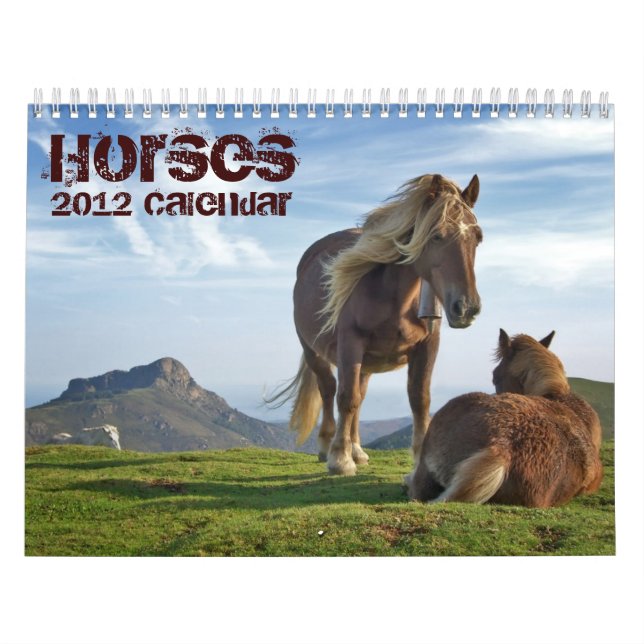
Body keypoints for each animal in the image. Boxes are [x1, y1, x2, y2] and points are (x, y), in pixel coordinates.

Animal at [267, 173, 482, 475]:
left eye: (478, 238)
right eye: (436, 235)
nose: (466, 308)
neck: (394, 297)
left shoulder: (428, 346)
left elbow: (419, 399)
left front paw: (418, 459)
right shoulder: (350, 344)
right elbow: (345, 398)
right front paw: (340, 459)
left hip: (368, 362)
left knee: (360, 396)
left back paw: (357, 449)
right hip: (314, 351)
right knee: (329, 389)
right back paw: (327, 445)